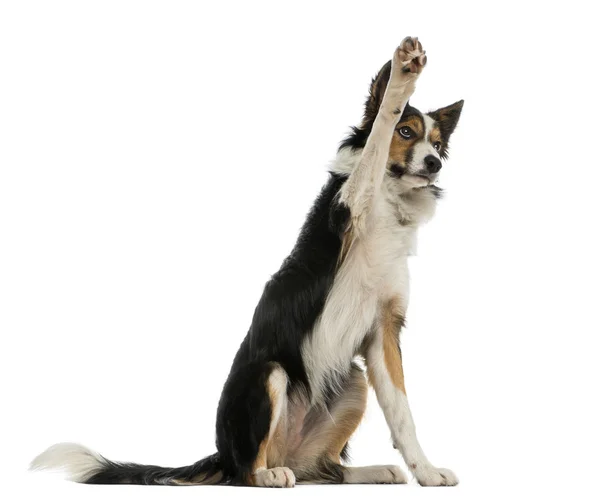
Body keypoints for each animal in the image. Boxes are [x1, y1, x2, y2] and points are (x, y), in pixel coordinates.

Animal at [31, 37, 464, 488]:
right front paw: (402, 76)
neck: (390, 202)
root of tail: (225, 454)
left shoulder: (384, 330)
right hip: (269, 373)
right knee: (248, 472)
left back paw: (372, 470)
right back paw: (270, 474)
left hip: (353, 382)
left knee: (325, 468)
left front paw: (427, 472)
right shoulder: (348, 206)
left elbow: (402, 414)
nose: (434, 163)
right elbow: (375, 138)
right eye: (406, 132)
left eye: (436, 144)